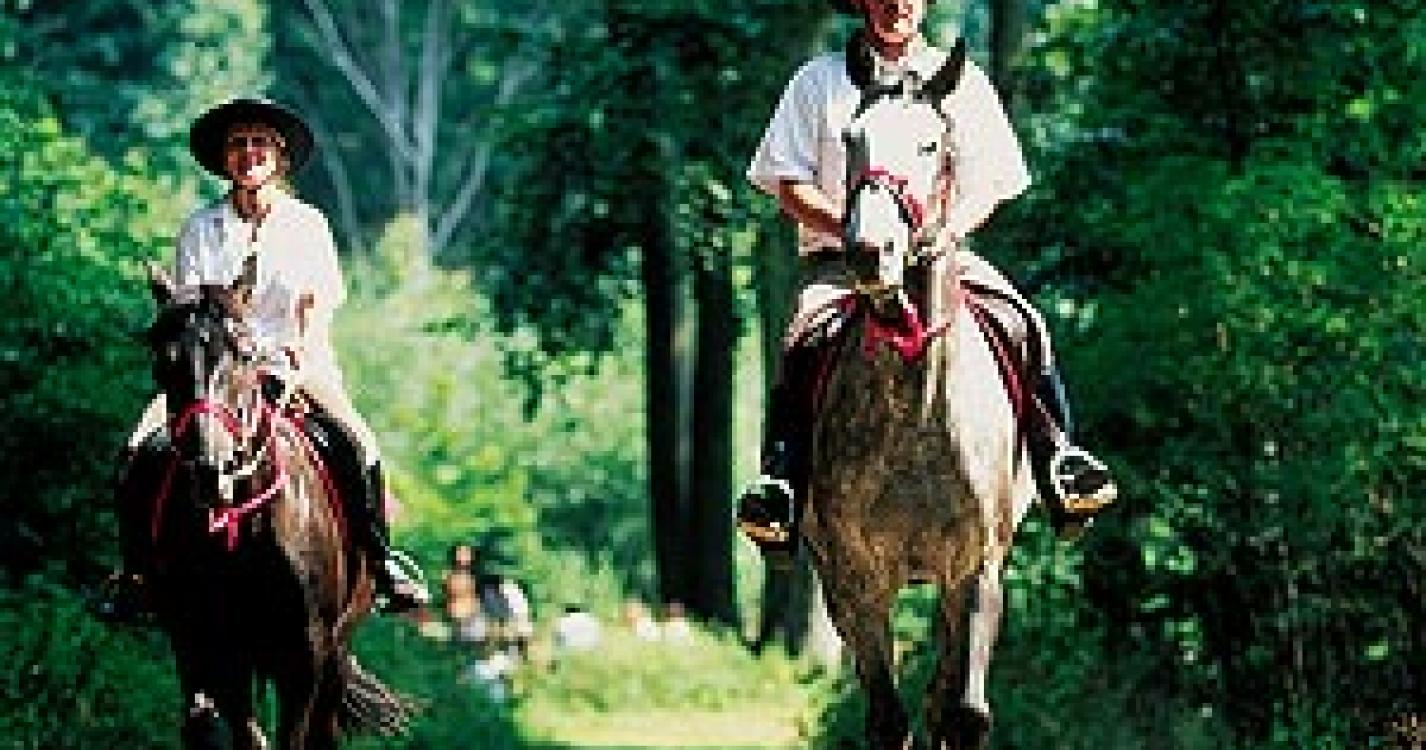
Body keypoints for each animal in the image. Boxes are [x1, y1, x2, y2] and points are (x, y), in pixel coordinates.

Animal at [139, 263, 409, 749]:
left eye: (245, 354)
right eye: (162, 360)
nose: (212, 468)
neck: (249, 533)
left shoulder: (305, 660)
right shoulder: (218, 650)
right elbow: (242, 732)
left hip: (338, 647)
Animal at [802, 47, 1035, 750]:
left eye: (931, 144)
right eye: (851, 138)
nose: (868, 251)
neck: (920, 413)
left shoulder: (976, 569)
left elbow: (964, 712)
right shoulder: (858, 576)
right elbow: (886, 716)